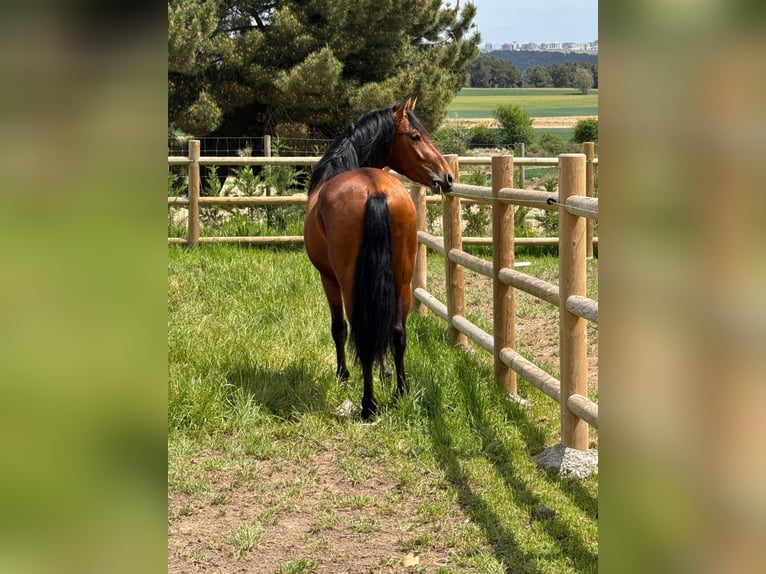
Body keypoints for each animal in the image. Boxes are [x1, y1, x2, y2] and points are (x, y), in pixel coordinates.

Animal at [304, 97, 454, 420]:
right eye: (415, 136)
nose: (448, 177)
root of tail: (374, 189)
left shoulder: (328, 279)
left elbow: (339, 327)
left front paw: (343, 374)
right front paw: (385, 373)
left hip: (351, 285)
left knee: (361, 332)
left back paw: (368, 405)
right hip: (402, 280)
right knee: (396, 332)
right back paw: (400, 391)